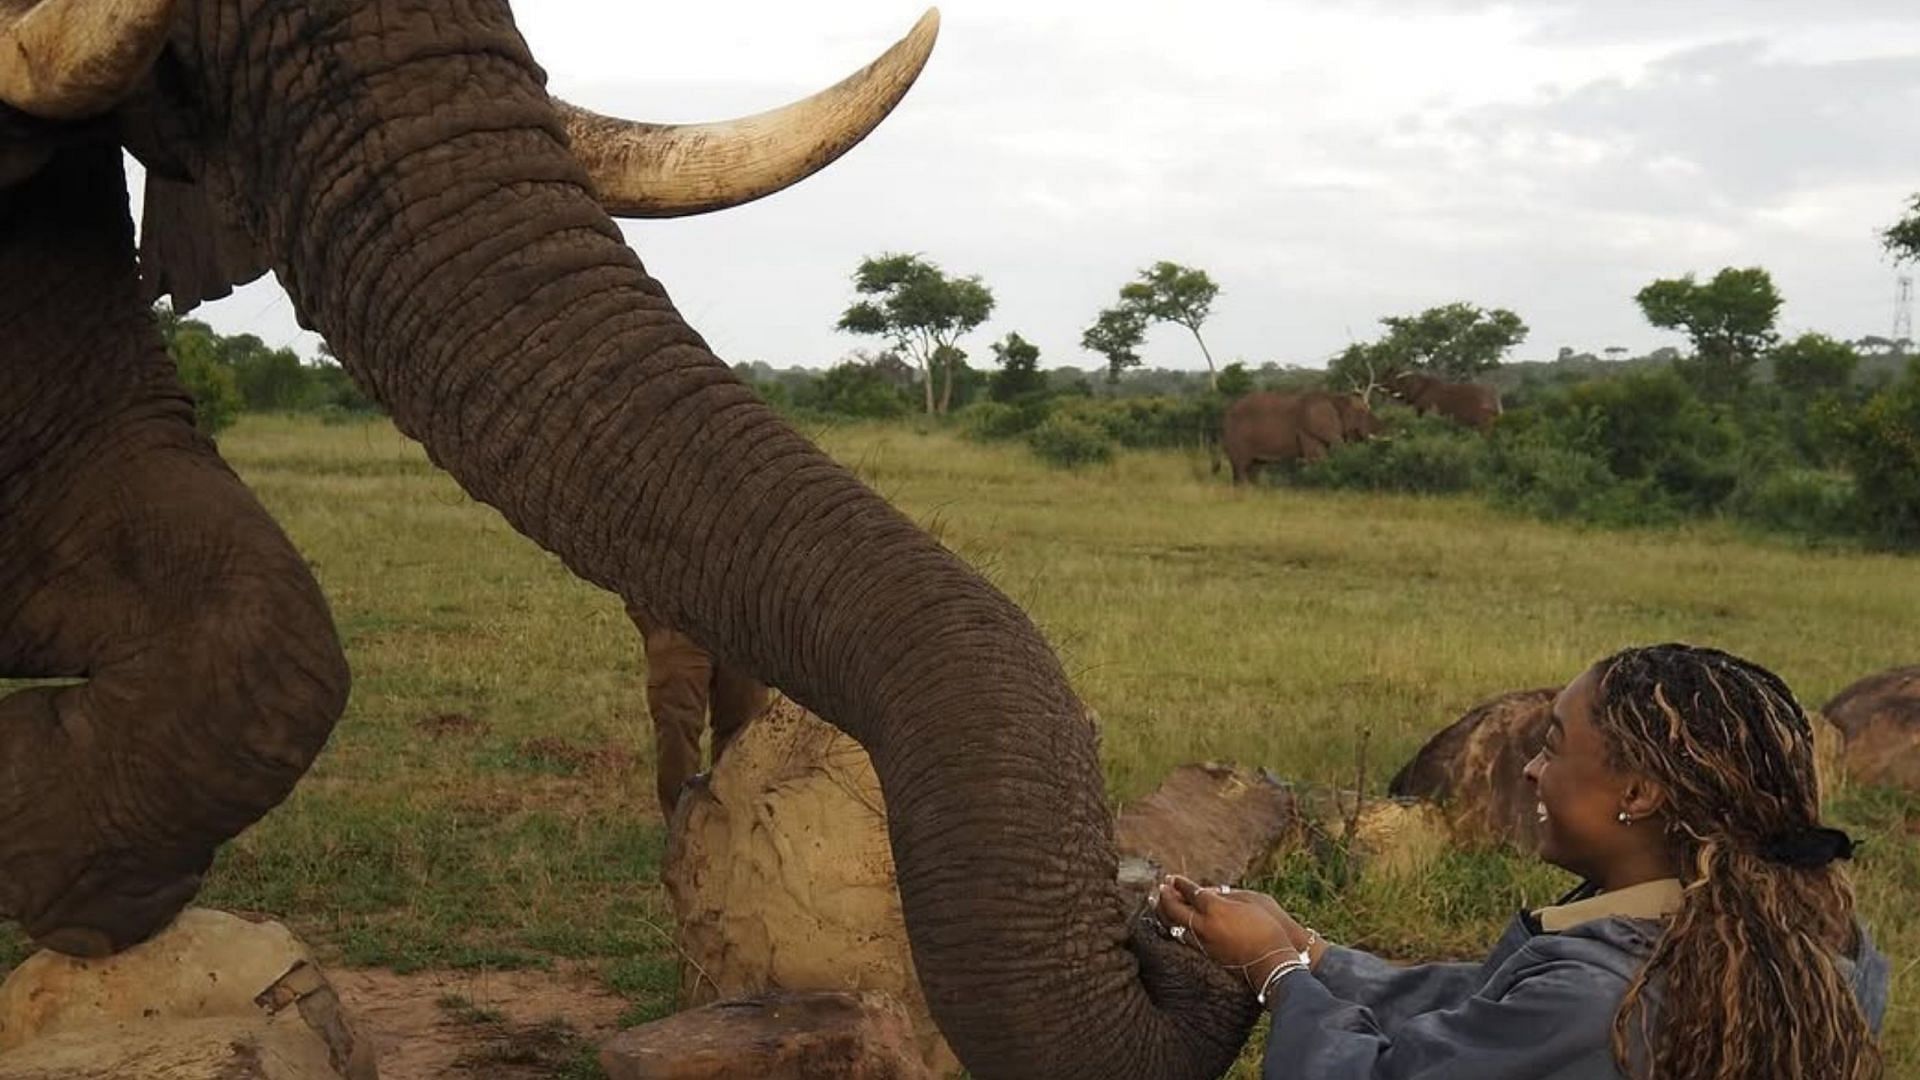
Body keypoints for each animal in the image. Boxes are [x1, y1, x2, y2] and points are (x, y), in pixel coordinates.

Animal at [1213, 390, 1382, 484]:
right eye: (1362, 413)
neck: (1334, 398)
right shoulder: (1308, 430)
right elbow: (1318, 459)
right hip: (1237, 437)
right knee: (1242, 468)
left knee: (1254, 469)